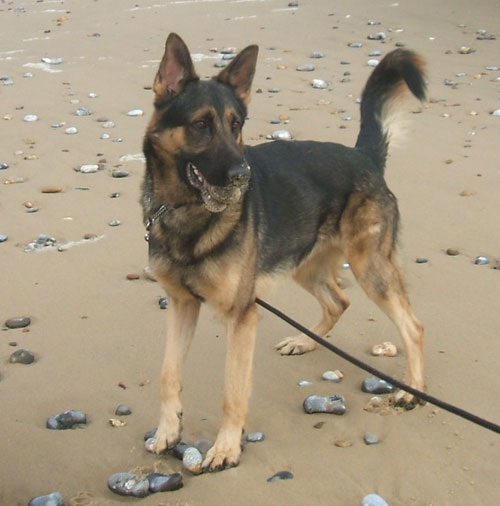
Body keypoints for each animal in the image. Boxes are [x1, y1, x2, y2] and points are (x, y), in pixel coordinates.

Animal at [142, 33, 426, 472]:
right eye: (201, 124)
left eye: (236, 125)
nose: (242, 176)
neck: (185, 211)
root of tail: (363, 155)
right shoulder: (181, 305)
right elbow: (168, 374)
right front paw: (168, 431)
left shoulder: (242, 316)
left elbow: (232, 391)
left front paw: (226, 447)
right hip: (304, 265)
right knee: (339, 301)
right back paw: (304, 341)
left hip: (371, 270)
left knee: (413, 327)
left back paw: (411, 389)